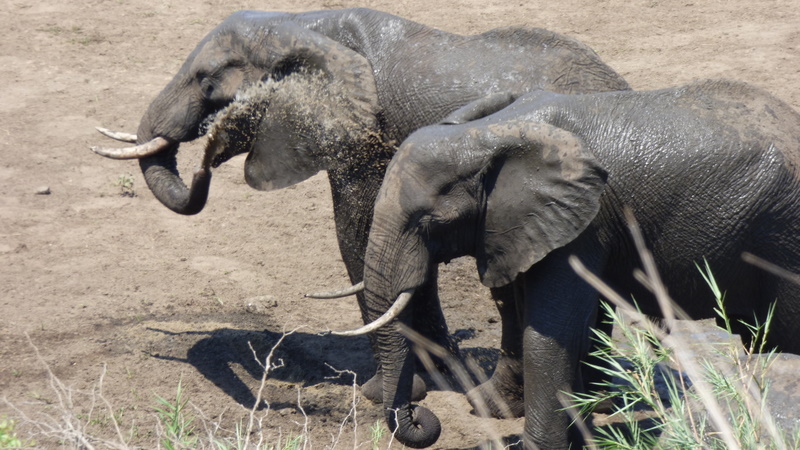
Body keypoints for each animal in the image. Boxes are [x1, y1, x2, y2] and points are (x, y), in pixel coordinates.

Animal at [90, 7, 630, 432]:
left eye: (208, 83)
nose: (209, 152)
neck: (301, 24)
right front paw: (433, 380)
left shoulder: (365, 133)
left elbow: (360, 235)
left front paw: (391, 392)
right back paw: (596, 399)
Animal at [358, 79, 800, 448]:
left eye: (429, 222)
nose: (420, 413)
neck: (489, 132)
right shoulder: (519, 223)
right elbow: (519, 314)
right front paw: (495, 409)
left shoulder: (586, 222)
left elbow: (550, 333)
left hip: (784, 238)